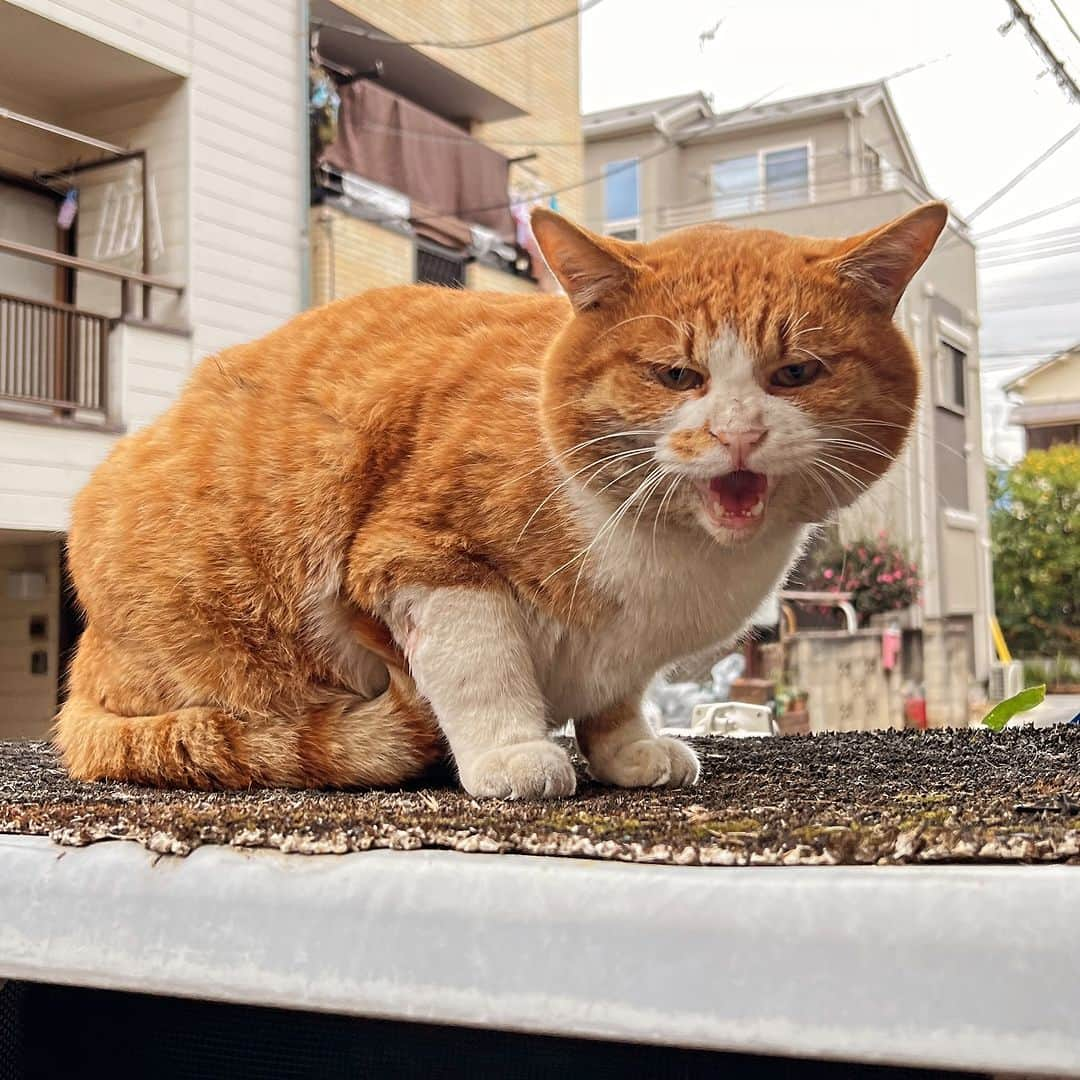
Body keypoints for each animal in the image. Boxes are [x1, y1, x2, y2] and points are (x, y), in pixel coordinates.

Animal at [56, 203, 946, 799]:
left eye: (796, 373)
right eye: (675, 375)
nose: (737, 434)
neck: (670, 559)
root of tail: (86, 660)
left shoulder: (623, 652)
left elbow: (616, 697)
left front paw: (630, 750)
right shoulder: (421, 561)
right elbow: (480, 666)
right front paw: (512, 755)